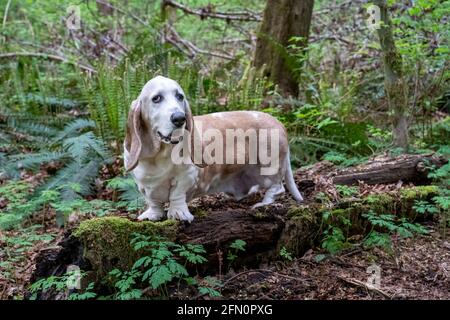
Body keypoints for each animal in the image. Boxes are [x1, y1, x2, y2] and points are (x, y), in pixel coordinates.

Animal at [123, 76, 302, 222]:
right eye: (156, 98)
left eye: (180, 96)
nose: (180, 118)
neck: (159, 155)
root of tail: (278, 122)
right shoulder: (143, 184)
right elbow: (153, 202)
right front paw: (152, 214)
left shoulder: (187, 176)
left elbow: (177, 196)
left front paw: (178, 213)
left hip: (269, 168)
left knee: (278, 188)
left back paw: (263, 205)